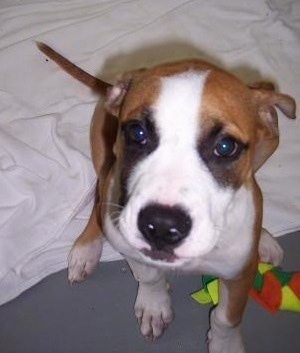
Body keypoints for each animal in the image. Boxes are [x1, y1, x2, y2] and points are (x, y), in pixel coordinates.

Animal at [37, 42, 296, 352]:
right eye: (137, 131)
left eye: (226, 146)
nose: (161, 226)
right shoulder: (130, 244)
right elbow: (148, 276)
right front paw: (154, 306)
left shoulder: (241, 275)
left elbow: (226, 318)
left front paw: (226, 345)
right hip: (104, 150)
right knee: (100, 195)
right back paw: (86, 249)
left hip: (270, 141)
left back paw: (264, 237)